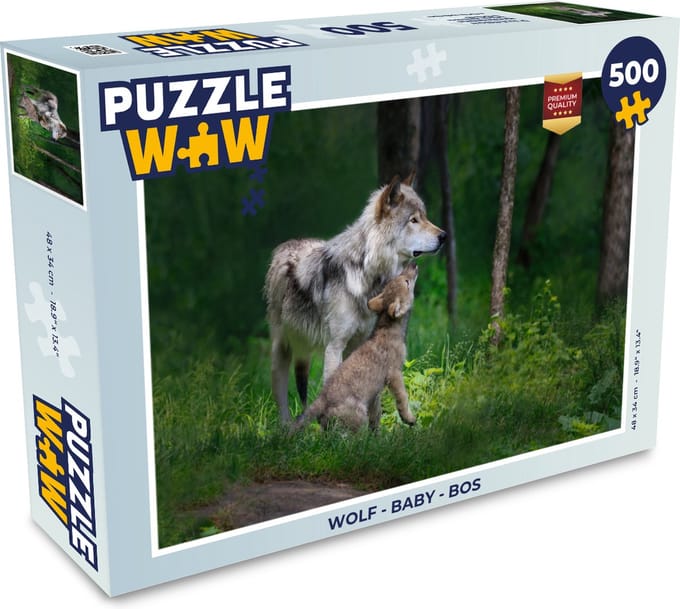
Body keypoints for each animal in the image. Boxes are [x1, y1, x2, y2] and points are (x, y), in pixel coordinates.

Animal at [291, 263, 419, 432]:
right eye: (406, 282)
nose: (413, 264)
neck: (389, 329)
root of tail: (322, 398)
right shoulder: (394, 374)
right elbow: (403, 399)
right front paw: (409, 419)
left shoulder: (376, 393)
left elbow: (377, 413)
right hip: (358, 417)